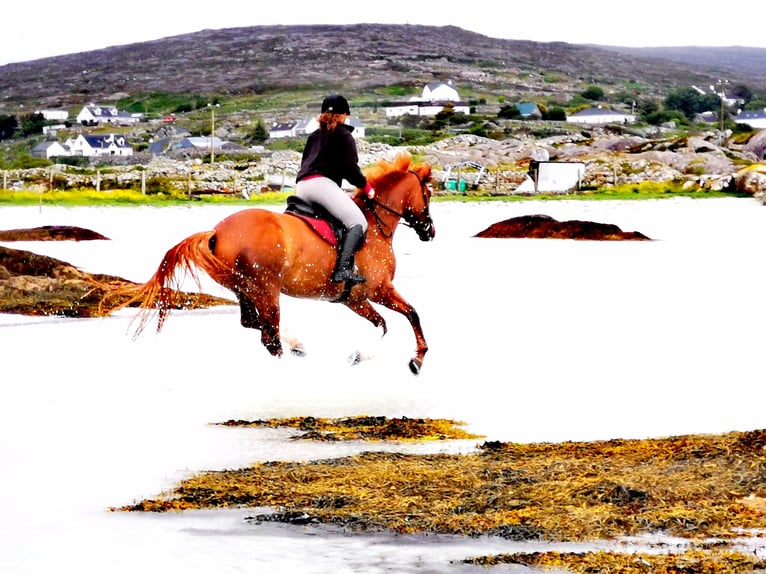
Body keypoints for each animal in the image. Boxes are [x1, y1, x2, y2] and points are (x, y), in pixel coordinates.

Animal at [118, 153, 436, 376]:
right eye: (428, 195)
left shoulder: (353, 299)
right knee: (268, 336)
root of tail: (217, 232)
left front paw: (361, 356)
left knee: (253, 323)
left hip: (243, 289)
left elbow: (383, 323)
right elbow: (411, 314)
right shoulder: (379, 290)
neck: (375, 225)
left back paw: (297, 345)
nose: (430, 231)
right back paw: (287, 366)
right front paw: (416, 359)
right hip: (267, 289)